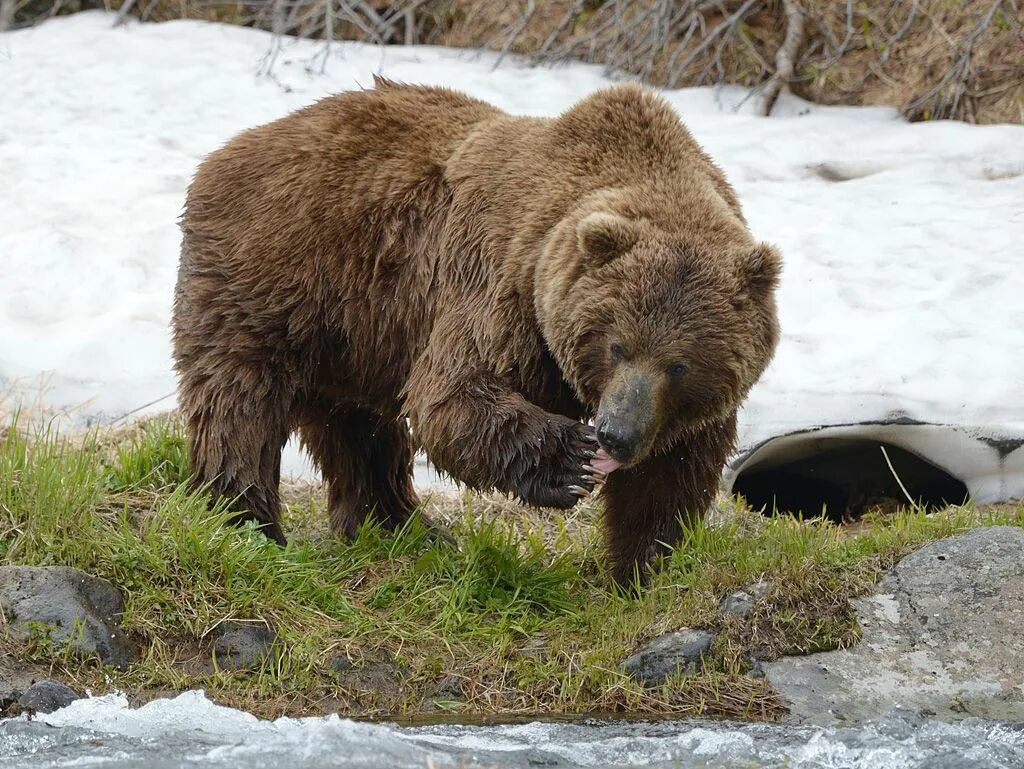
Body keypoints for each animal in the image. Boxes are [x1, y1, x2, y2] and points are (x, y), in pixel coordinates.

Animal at [172, 76, 778, 581]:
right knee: (240, 401)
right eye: (616, 345)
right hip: (276, 273)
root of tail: (229, 148)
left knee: (358, 426)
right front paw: (569, 460)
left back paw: (400, 527)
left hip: (355, 331)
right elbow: (453, 396)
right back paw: (246, 522)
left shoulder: (682, 412)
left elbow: (671, 476)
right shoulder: (503, 286)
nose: (615, 433)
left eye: (679, 364)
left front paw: (642, 568)